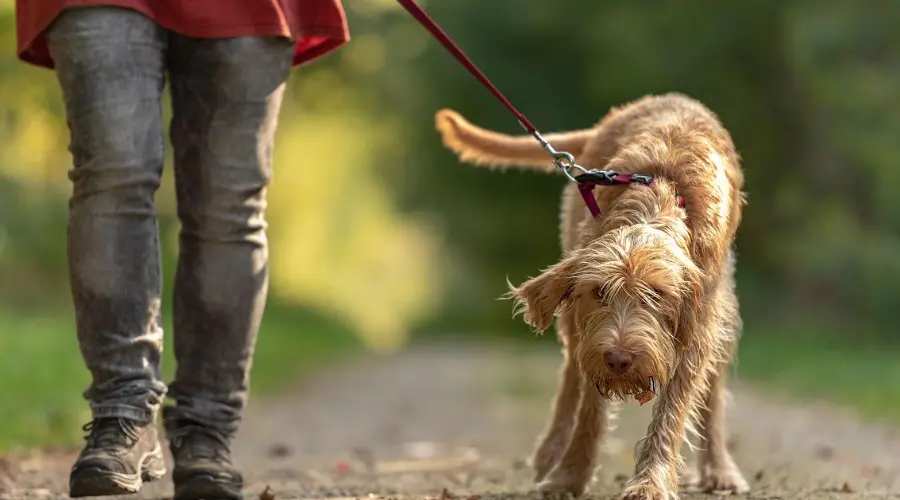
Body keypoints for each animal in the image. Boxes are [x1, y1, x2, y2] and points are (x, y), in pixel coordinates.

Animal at [432, 94, 748, 500]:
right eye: (600, 291)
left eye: (657, 293)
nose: (620, 359)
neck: (655, 199)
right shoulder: (593, 332)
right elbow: (590, 408)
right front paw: (570, 473)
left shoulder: (696, 326)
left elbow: (673, 410)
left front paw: (651, 482)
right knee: (570, 376)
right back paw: (552, 451)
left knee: (712, 394)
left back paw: (720, 468)